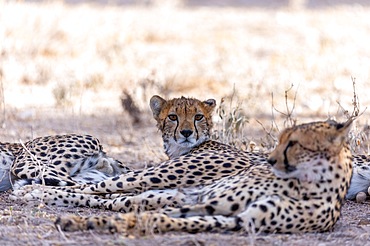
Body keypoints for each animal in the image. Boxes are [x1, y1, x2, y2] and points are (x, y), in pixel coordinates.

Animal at [53, 118, 354, 235]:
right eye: (280, 140)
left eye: (294, 144)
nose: (270, 160)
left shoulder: (238, 219)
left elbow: (160, 218)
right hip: (163, 180)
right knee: (97, 189)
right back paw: (44, 193)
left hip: (167, 193)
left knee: (112, 198)